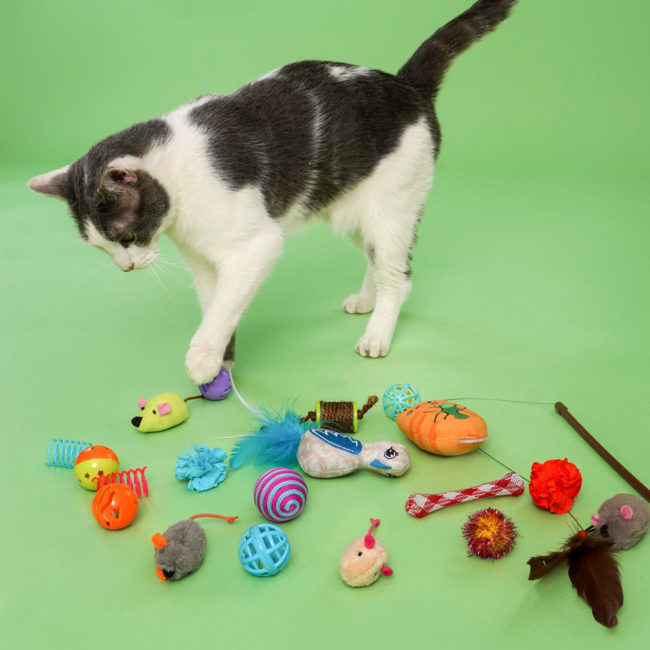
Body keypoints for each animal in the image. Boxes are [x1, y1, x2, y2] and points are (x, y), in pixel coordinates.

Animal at [29, 1, 516, 384]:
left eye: (126, 237)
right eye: (102, 248)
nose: (126, 267)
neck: (178, 178)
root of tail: (407, 86)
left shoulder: (255, 246)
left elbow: (225, 305)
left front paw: (202, 360)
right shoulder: (203, 261)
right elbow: (217, 305)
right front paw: (223, 361)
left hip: (391, 209)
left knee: (399, 277)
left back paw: (377, 333)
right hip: (352, 210)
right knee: (376, 260)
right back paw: (367, 299)